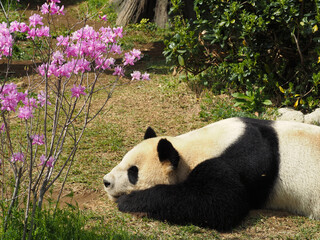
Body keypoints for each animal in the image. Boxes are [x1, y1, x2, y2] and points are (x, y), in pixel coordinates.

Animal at [102, 117, 320, 231]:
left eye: (133, 172)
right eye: (123, 160)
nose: (106, 182)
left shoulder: (236, 163)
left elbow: (219, 204)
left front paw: (130, 201)